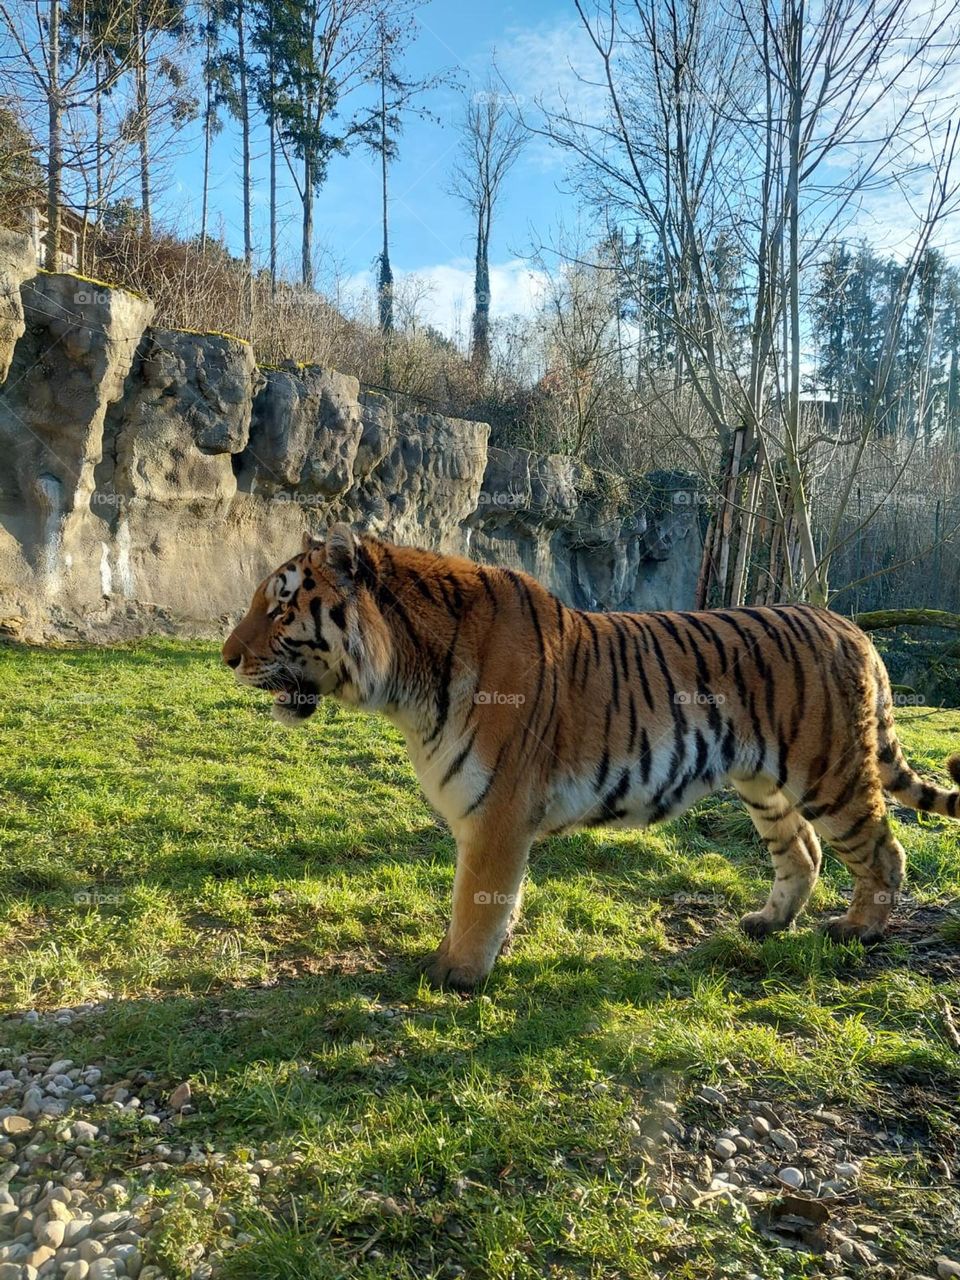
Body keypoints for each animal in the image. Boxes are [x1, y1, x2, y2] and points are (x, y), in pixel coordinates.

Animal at [222, 524, 960, 991]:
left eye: (280, 607)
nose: (226, 658)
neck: (404, 682)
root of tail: (853, 628)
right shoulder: (500, 819)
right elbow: (500, 897)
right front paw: (484, 955)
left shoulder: (497, 812)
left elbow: (475, 899)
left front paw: (456, 973)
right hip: (763, 783)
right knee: (801, 851)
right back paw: (767, 922)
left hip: (829, 773)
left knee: (884, 851)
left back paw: (858, 930)